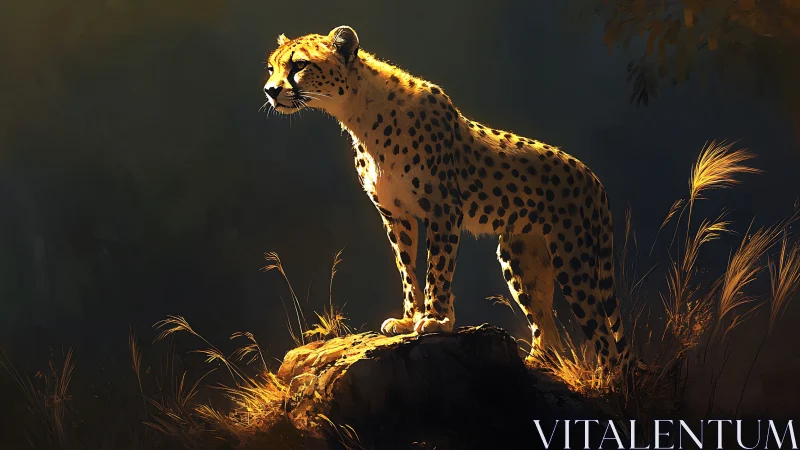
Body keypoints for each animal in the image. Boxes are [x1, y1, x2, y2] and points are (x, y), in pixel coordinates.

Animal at [263, 25, 631, 372]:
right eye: (271, 68)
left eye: (299, 65)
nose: (271, 90)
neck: (358, 113)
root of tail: (590, 175)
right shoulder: (396, 215)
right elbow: (407, 270)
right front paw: (410, 319)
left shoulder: (443, 210)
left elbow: (437, 269)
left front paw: (436, 320)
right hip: (520, 259)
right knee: (547, 328)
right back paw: (535, 364)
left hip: (574, 260)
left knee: (604, 337)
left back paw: (606, 383)